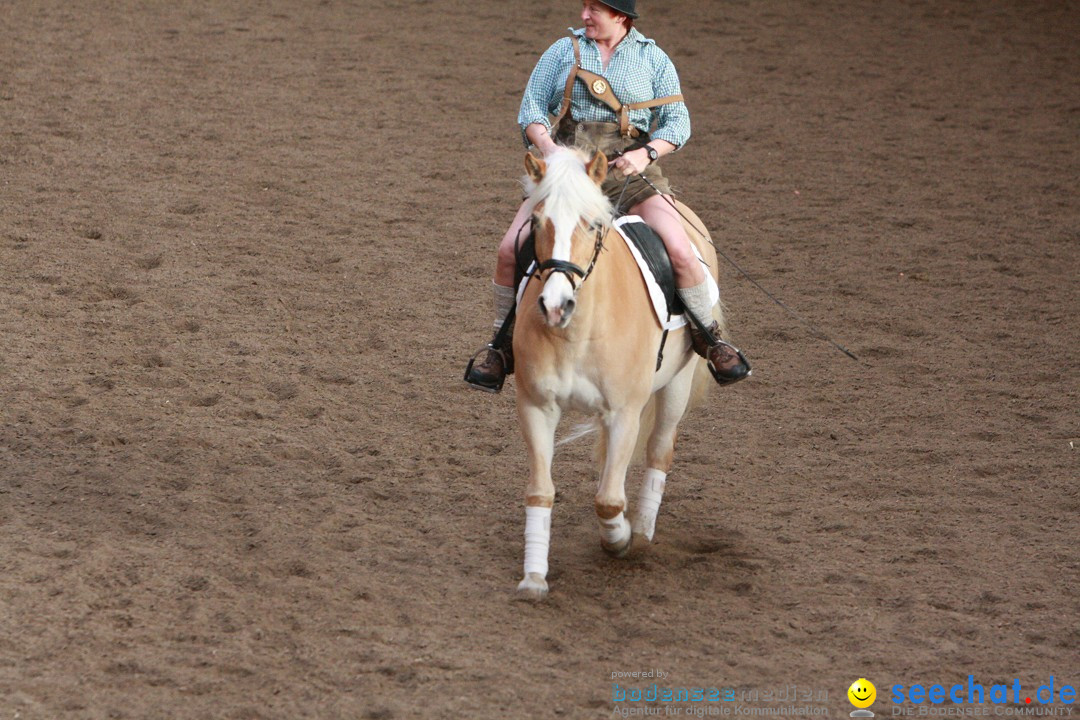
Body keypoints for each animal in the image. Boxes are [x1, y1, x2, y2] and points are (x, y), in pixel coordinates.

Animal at [514, 147, 725, 604]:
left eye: (592, 224)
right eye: (537, 222)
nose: (555, 306)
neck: (577, 334)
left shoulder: (625, 413)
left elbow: (609, 500)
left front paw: (621, 539)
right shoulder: (536, 406)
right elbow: (541, 491)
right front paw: (534, 577)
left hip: (677, 385)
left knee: (660, 449)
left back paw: (643, 532)